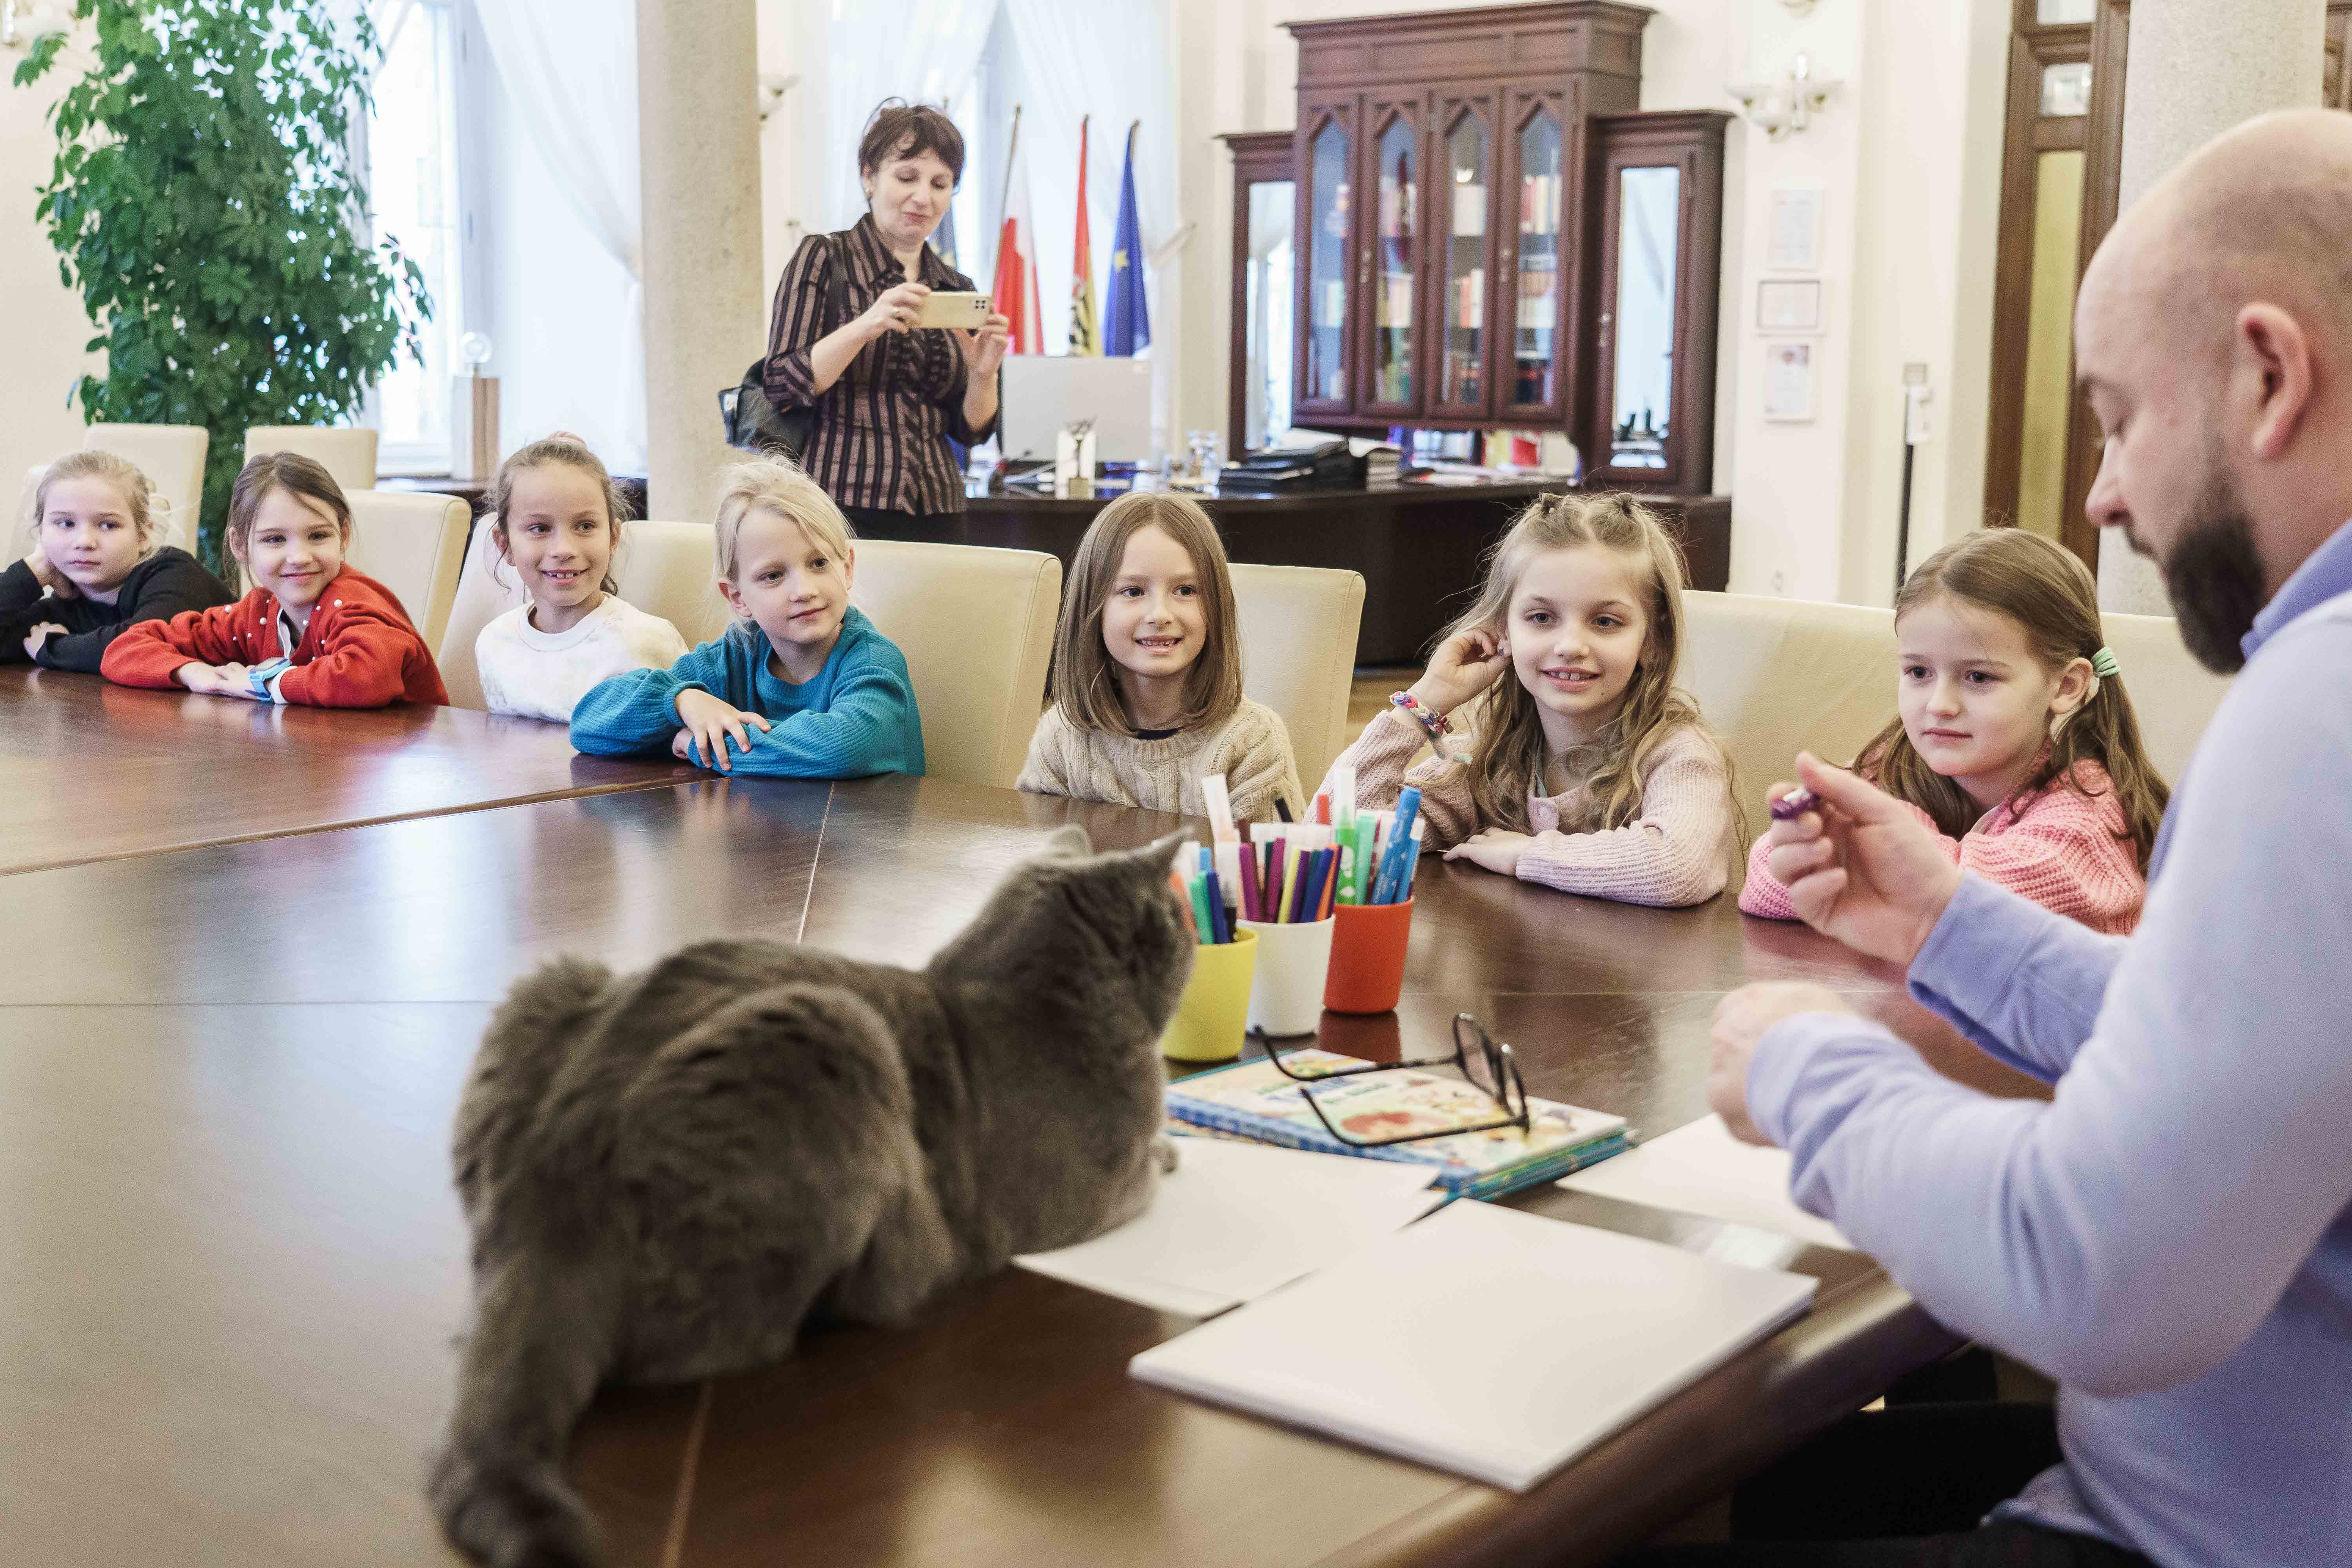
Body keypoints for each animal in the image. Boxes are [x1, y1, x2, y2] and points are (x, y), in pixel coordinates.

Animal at [429, 825, 1196, 1568]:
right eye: (1186, 918)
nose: (1194, 929)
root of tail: (546, 1190)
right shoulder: (1100, 1193)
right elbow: (1147, 1159)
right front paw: (1172, 1146)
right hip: (837, 1039)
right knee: (730, 1340)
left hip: (550, 984)